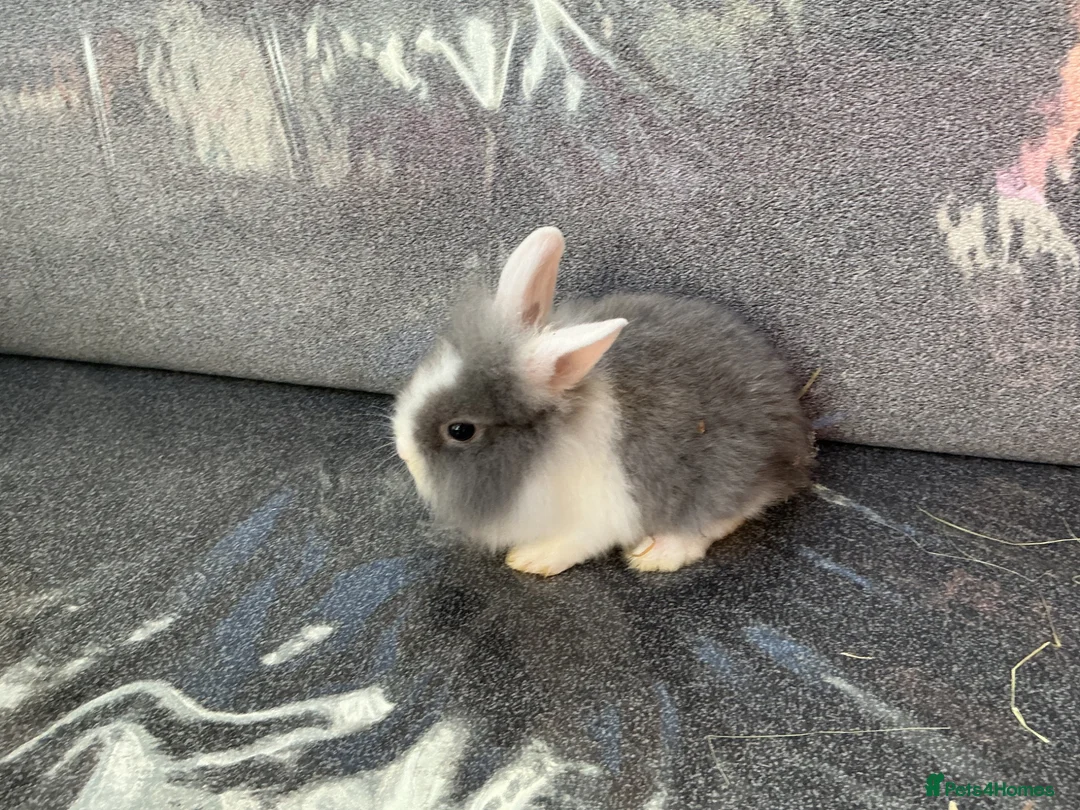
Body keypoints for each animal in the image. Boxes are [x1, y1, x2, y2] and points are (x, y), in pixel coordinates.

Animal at [393, 227, 814, 576]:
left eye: (460, 430)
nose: (404, 455)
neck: (546, 449)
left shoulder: (598, 516)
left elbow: (575, 543)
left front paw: (531, 559)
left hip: (723, 476)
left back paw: (658, 552)